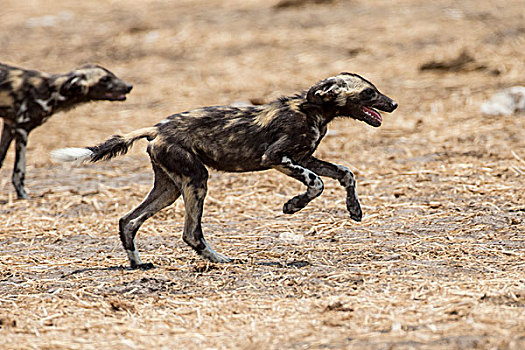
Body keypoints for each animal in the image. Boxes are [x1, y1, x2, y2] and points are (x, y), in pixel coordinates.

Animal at [0, 63, 133, 198]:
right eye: (105, 79)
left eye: (112, 75)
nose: (129, 86)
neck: (51, 91)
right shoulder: (22, 130)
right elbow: (19, 170)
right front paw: (22, 195)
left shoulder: (9, 127)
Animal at [53, 72, 398, 268]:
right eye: (369, 93)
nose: (393, 104)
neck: (313, 109)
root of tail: (156, 128)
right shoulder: (277, 158)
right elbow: (316, 185)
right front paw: (292, 206)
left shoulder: (307, 158)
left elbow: (345, 173)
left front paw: (354, 211)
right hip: (197, 180)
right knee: (191, 233)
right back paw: (221, 260)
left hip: (169, 189)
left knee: (128, 221)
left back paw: (138, 264)